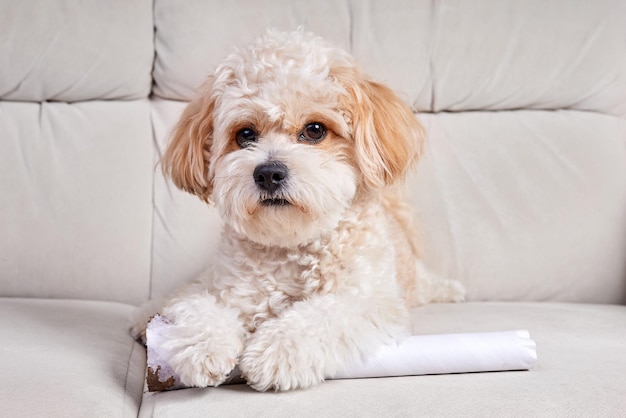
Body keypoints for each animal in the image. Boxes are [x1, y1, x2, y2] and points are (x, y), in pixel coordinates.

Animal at [133, 29, 464, 392]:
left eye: (315, 130)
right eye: (245, 134)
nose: (268, 173)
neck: (291, 246)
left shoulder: (369, 301)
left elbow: (321, 317)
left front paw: (275, 350)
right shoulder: (228, 290)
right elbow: (198, 305)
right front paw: (202, 345)